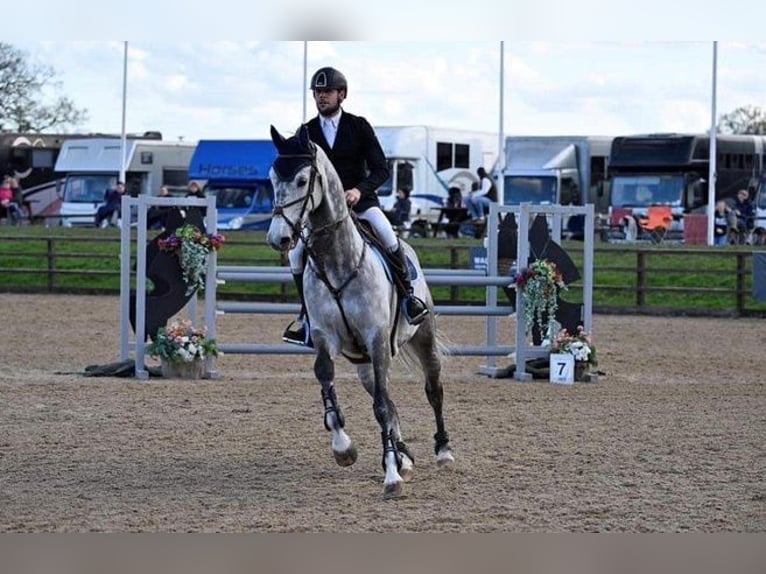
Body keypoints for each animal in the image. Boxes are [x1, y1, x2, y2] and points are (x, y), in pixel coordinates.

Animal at [268, 125, 456, 500]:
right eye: (271, 178)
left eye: (301, 180)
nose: (278, 238)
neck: (337, 260)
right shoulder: (325, 337)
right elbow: (327, 379)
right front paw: (344, 448)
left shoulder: (377, 338)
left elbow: (382, 407)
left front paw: (392, 477)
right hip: (364, 362)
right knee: (388, 399)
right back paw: (403, 456)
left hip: (420, 340)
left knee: (432, 390)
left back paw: (442, 452)